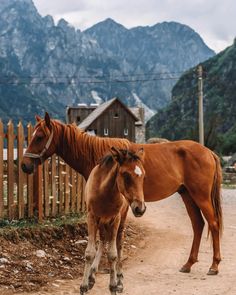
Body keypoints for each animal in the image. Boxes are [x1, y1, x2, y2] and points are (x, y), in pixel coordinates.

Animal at [21, 114, 222, 276]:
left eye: (39, 137)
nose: (24, 165)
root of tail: (209, 152)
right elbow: (106, 235)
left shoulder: (119, 208)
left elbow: (113, 234)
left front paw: (107, 265)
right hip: (187, 195)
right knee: (198, 225)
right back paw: (188, 264)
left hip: (200, 196)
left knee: (213, 224)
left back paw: (214, 266)